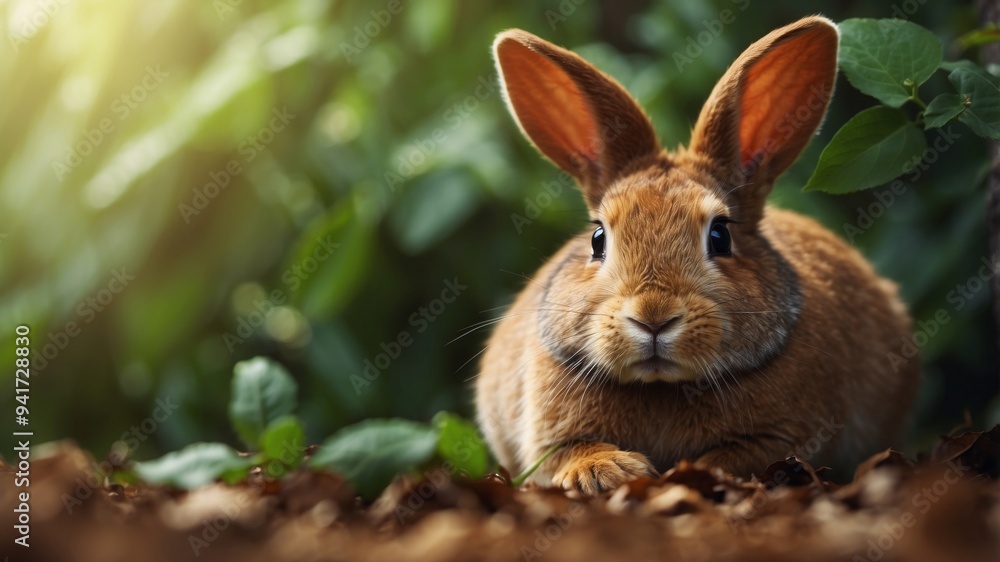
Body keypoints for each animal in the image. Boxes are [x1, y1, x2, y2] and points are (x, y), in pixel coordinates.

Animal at [475, 16, 919, 494]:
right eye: (597, 239)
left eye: (720, 236)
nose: (653, 318)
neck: (661, 386)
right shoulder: (548, 437)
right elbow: (566, 454)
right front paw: (606, 471)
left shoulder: (780, 438)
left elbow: (737, 458)